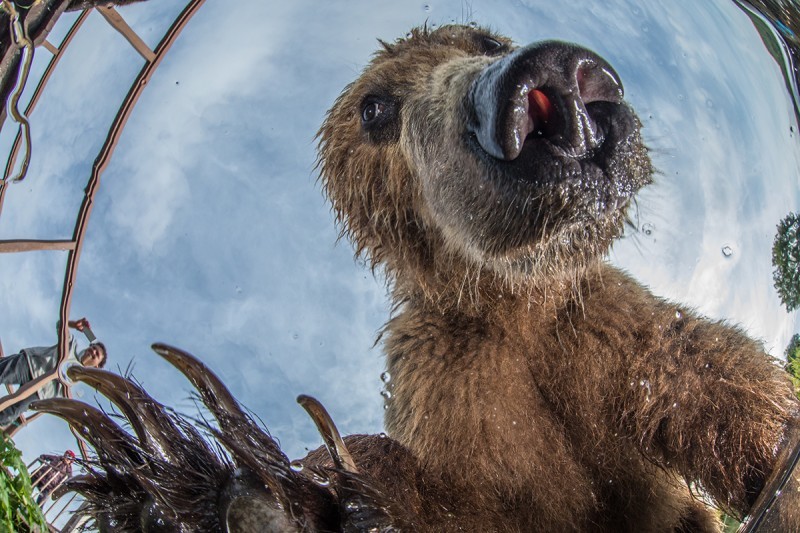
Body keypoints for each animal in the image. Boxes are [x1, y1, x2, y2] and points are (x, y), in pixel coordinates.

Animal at [34, 22, 800, 528]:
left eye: (485, 40)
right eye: (375, 106)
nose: (549, 85)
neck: (510, 310)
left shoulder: (606, 329)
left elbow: (741, 412)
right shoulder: (457, 389)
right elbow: (487, 503)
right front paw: (215, 498)